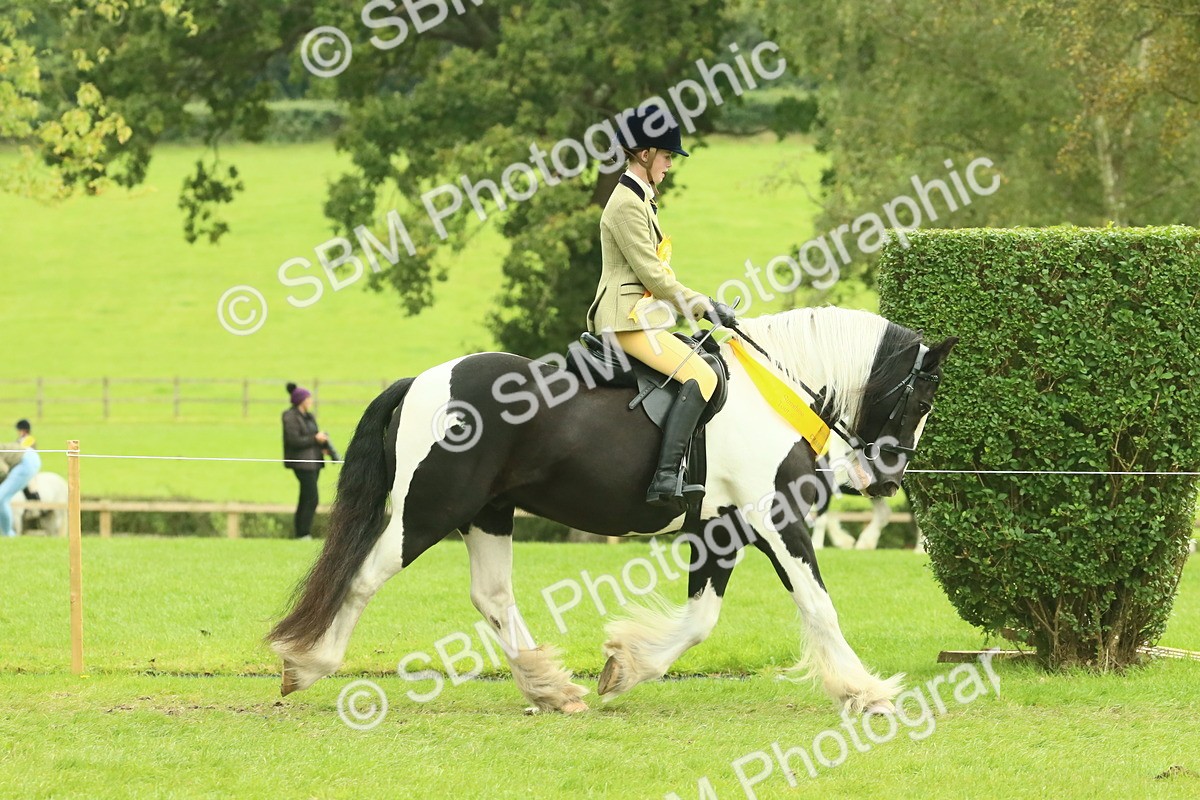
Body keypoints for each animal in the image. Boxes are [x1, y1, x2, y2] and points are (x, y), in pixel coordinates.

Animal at [267, 307, 956, 715]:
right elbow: (817, 604)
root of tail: (422, 382)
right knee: (363, 577)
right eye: (923, 399)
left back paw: (550, 688)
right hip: (431, 510)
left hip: (488, 512)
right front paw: (866, 691)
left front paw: (624, 668)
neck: (777, 391)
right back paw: (307, 666)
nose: (885, 479)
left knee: (492, 597)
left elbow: (701, 619)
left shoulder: (722, 529)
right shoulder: (774, 518)